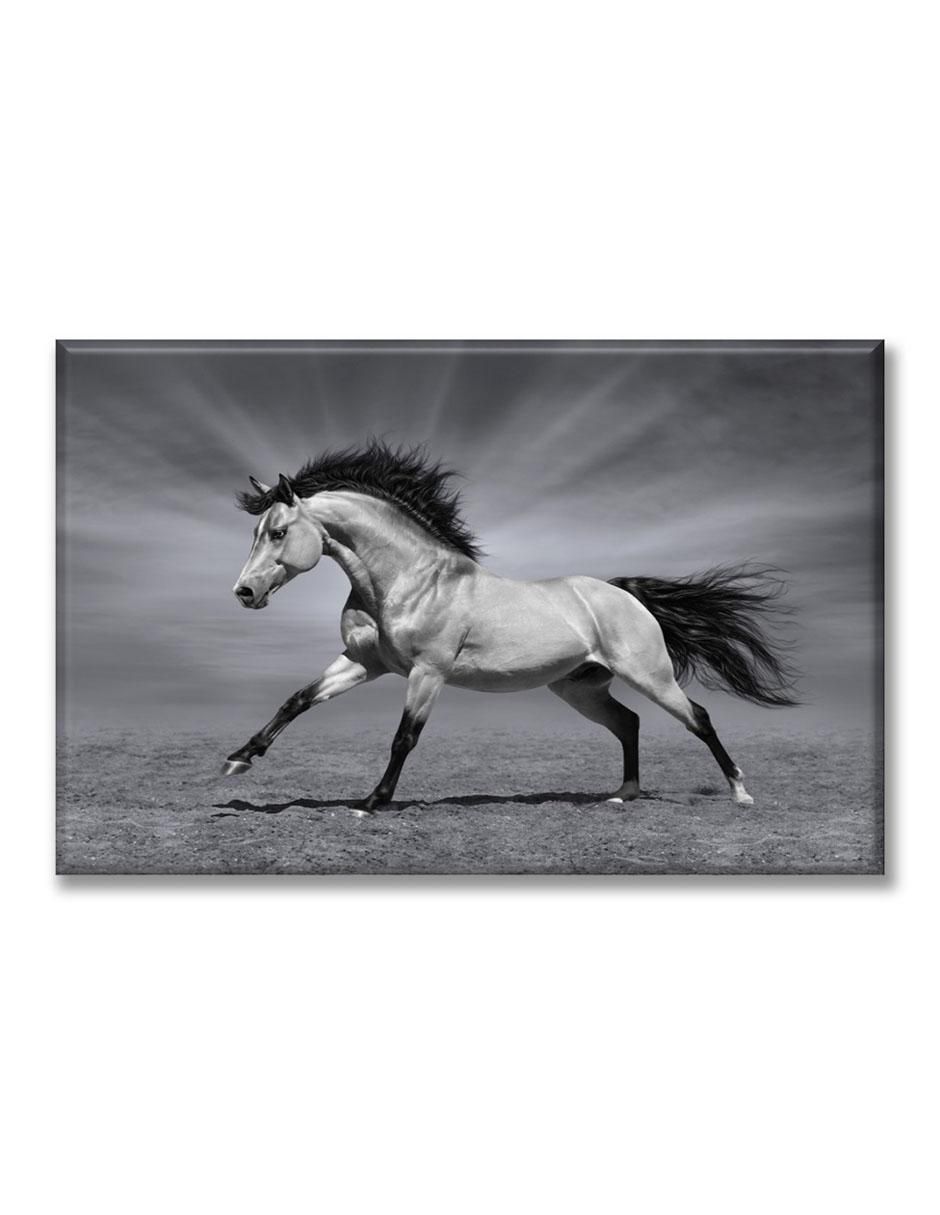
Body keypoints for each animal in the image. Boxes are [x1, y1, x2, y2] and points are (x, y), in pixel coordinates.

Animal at [223, 441, 797, 813]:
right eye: (256, 532)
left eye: (278, 533)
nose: (244, 593)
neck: (410, 580)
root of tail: (625, 595)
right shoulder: (365, 663)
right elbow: (297, 700)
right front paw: (238, 760)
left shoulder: (427, 673)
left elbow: (404, 737)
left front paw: (372, 802)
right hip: (580, 689)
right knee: (629, 723)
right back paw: (622, 795)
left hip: (650, 675)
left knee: (698, 718)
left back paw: (741, 793)